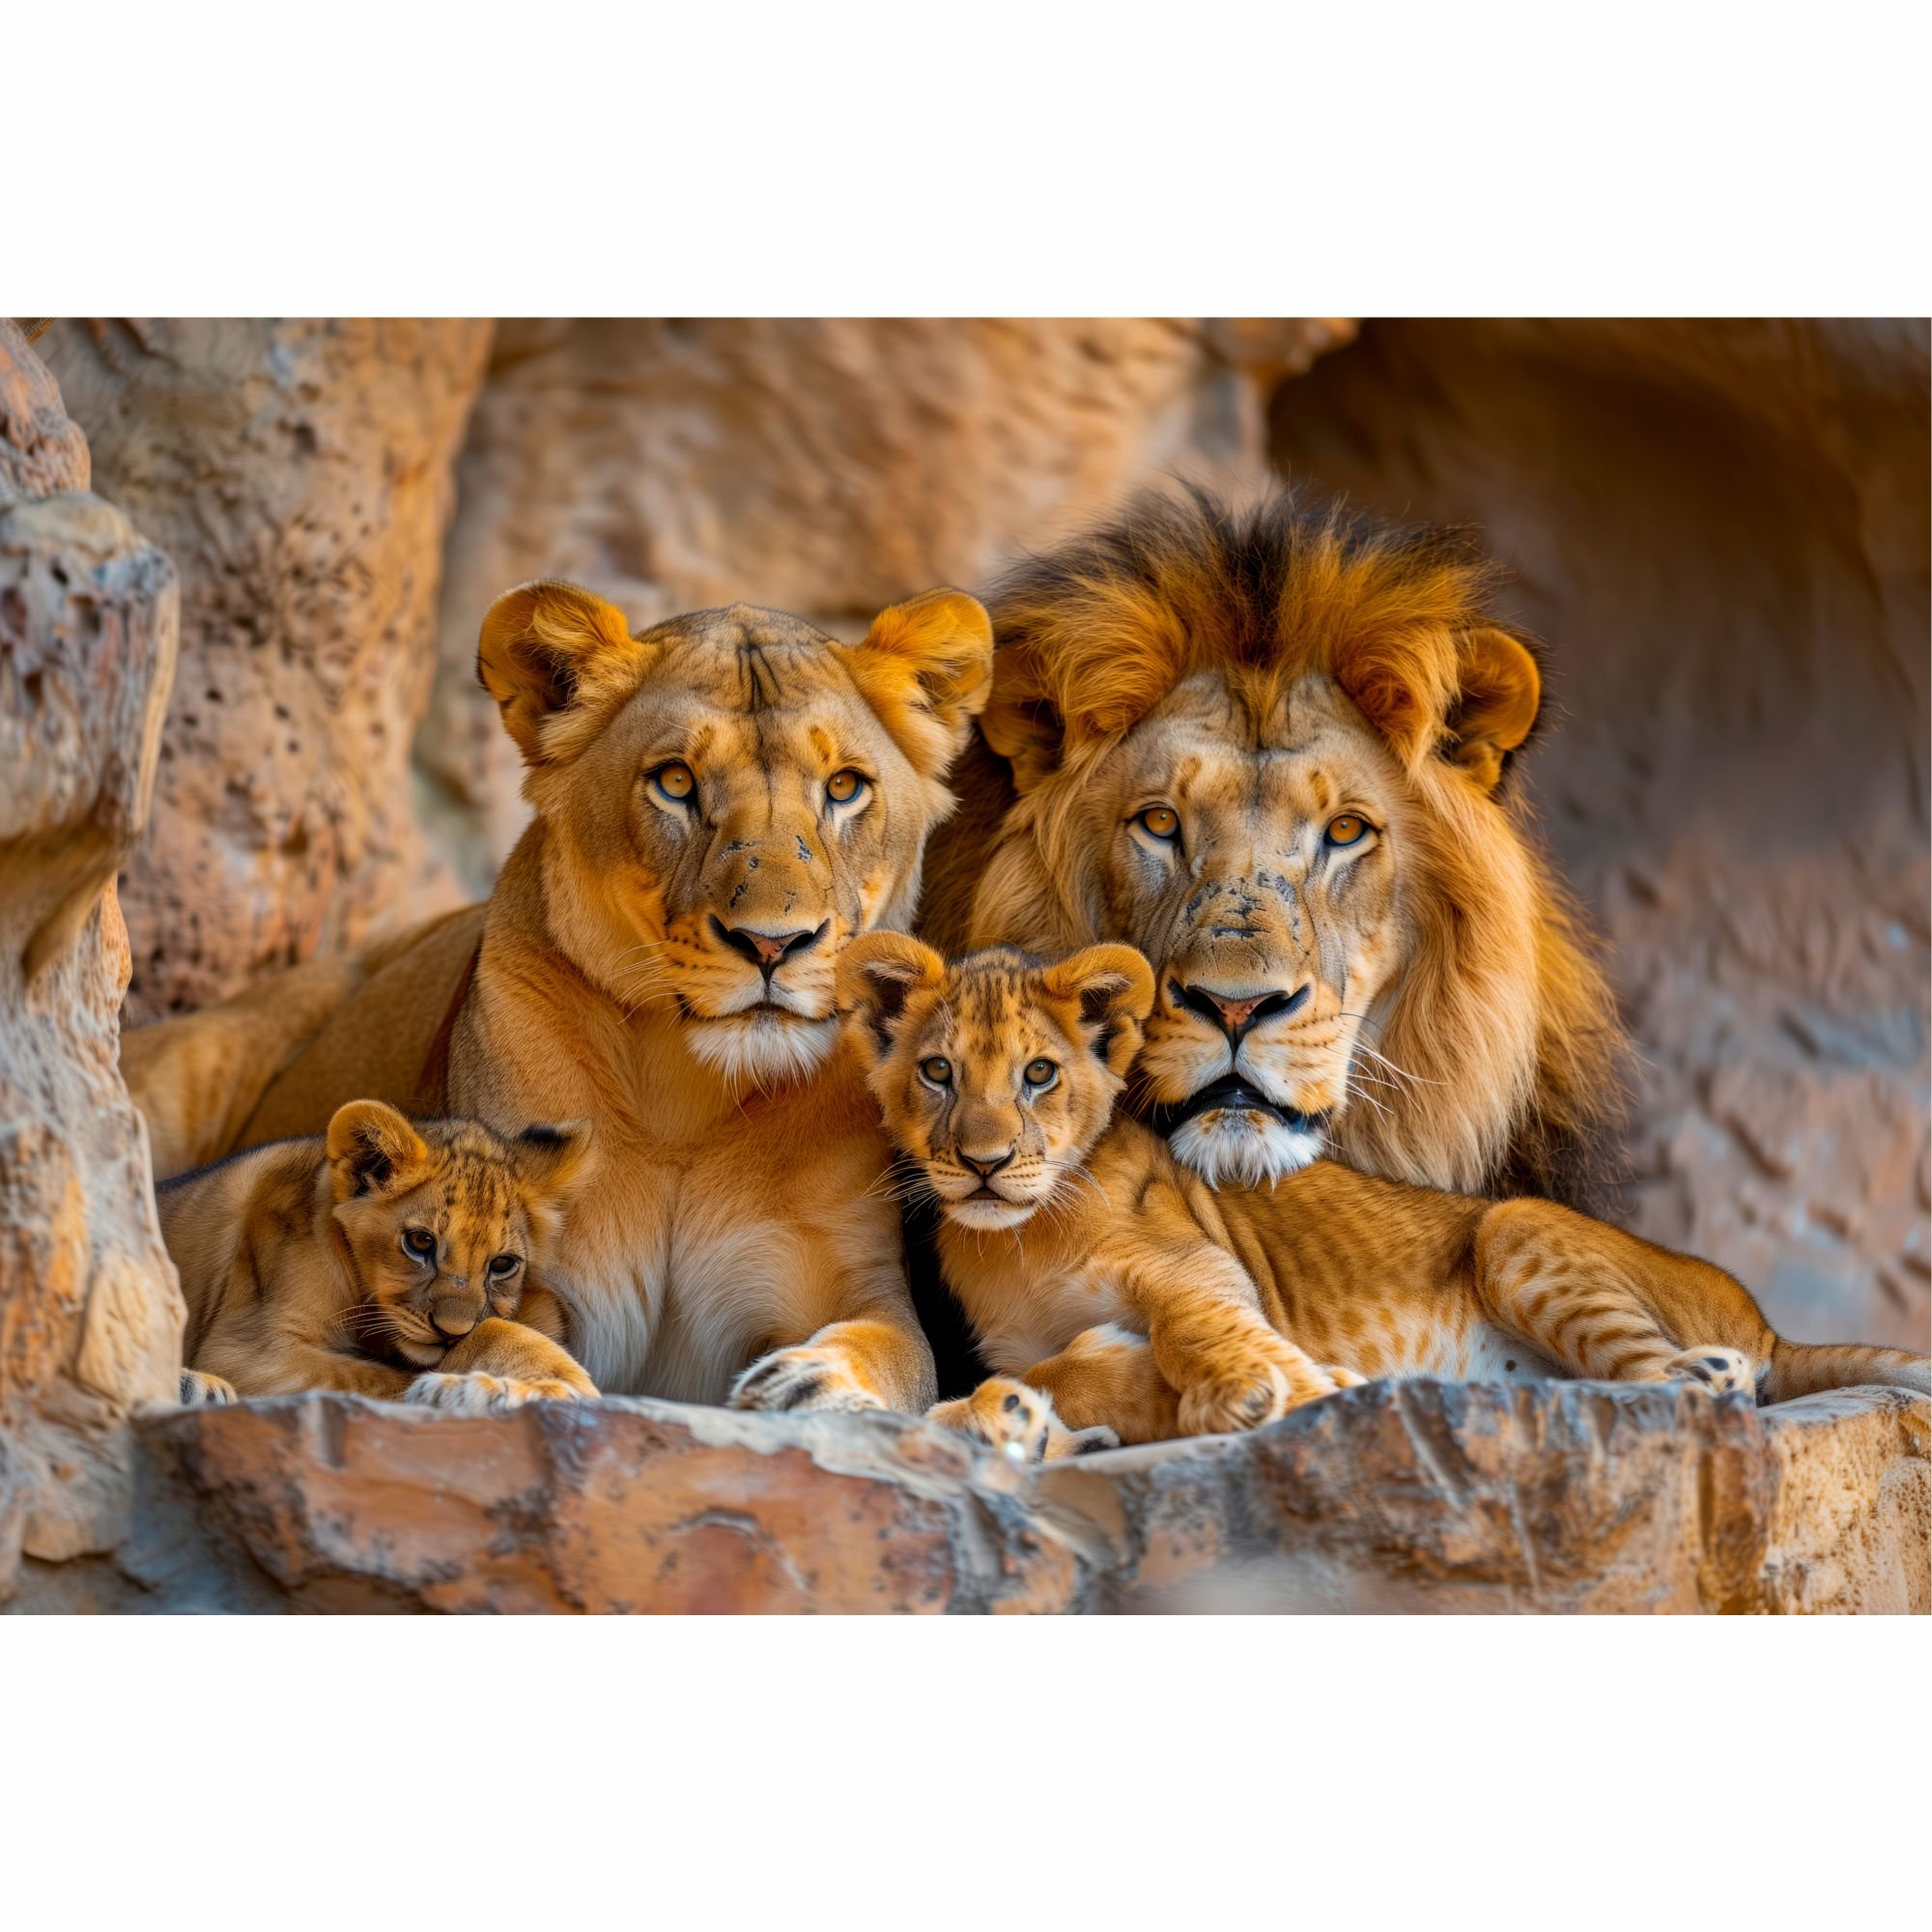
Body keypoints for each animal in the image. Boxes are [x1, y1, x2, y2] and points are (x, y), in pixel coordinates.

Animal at [164, 1100, 596, 1411]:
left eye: (503, 1264)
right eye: (420, 1242)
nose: (451, 1332)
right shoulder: (248, 1350)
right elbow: (383, 1378)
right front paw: (474, 1389)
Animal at [837, 935, 1932, 1456]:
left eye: (1037, 1075)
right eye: (937, 1073)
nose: (982, 1162)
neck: (1020, 1237)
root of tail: (1762, 1315)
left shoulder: (1190, 1262)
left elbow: (1204, 1329)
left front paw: (1275, 1386)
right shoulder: (1014, 1343)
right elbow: (1034, 1378)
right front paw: (1014, 1416)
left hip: (1515, 1227)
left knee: (1683, 1379)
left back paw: (1704, 1367)